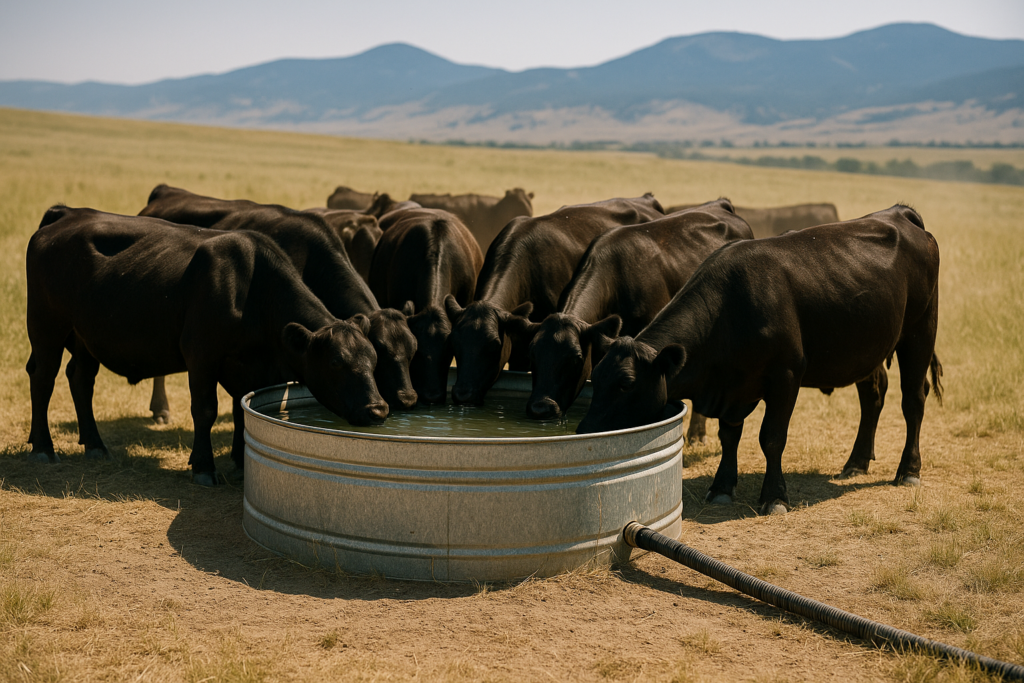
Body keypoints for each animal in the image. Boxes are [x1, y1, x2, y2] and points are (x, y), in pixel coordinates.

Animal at [26, 206, 387, 486]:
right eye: (336, 362)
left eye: (373, 360)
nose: (378, 410)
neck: (252, 288)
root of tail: (66, 214)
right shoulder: (201, 355)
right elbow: (205, 409)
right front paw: (203, 466)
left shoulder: (251, 366)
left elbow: (242, 409)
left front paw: (241, 462)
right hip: (46, 326)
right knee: (42, 376)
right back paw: (43, 448)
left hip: (85, 336)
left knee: (80, 379)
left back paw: (95, 444)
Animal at [577, 205, 942, 516]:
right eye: (597, 376)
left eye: (626, 383)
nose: (584, 431)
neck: (730, 308)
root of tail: (898, 213)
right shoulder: (732, 387)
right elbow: (729, 435)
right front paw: (722, 486)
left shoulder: (786, 376)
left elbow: (772, 438)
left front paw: (775, 496)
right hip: (866, 348)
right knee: (873, 395)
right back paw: (856, 462)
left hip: (919, 331)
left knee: (913, 400)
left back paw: (908, 470)